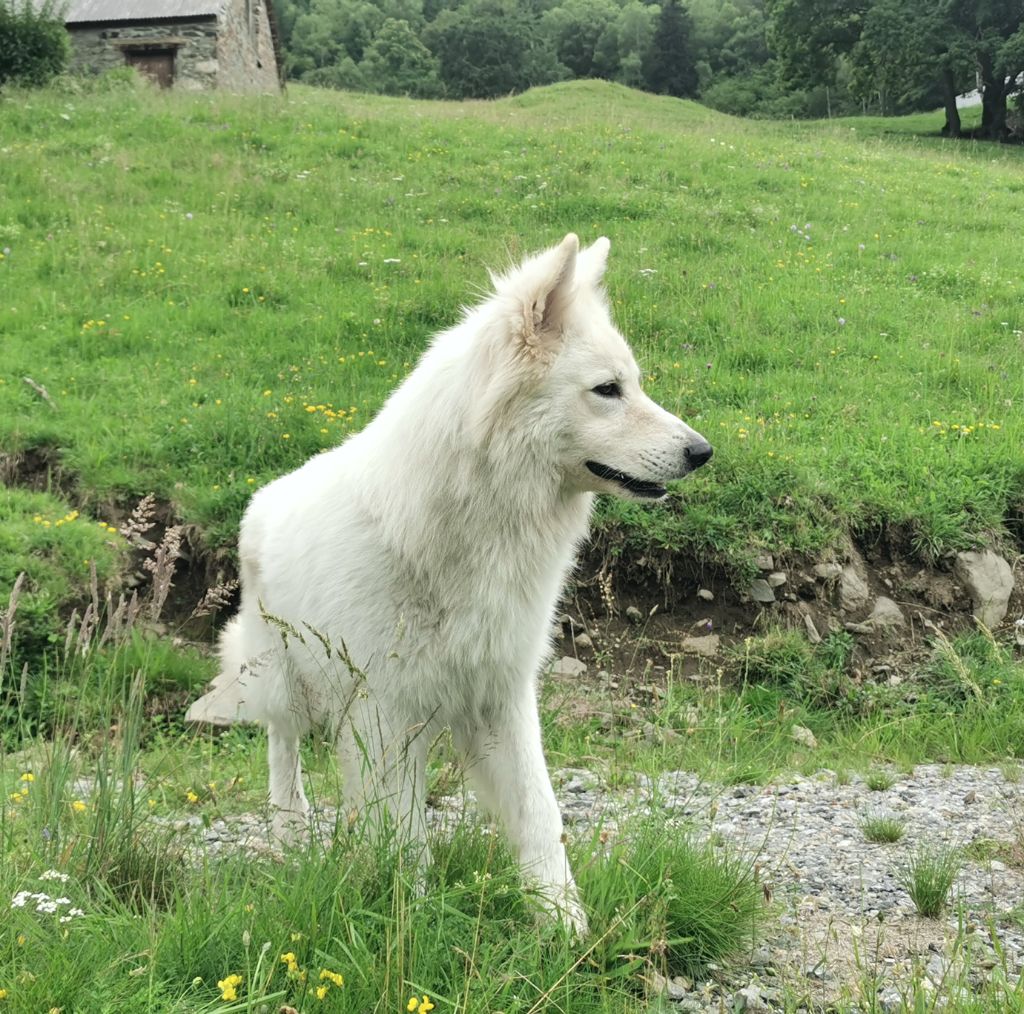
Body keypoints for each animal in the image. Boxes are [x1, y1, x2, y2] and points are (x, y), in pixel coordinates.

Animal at [186, 234, 712, 934]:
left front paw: (566, 927)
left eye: (633, 384)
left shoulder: (501, 698)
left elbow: (541, 818)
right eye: (608, 389)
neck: (468, 531)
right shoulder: (386, 714)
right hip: (284, 680)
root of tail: (262, 499)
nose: (703, 452)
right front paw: (413, 925)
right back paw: (291, 827)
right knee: (282, 744)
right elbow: (407, 837)